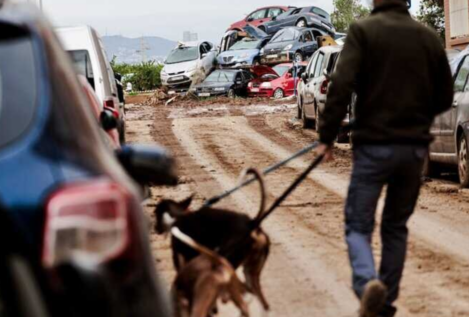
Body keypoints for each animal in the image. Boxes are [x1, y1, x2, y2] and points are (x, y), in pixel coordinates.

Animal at [154, 168, 270, 308]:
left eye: (156, 214)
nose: (155, 229)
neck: (180, 217)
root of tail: (252, 224)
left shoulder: (181, 261)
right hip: (250, 270)